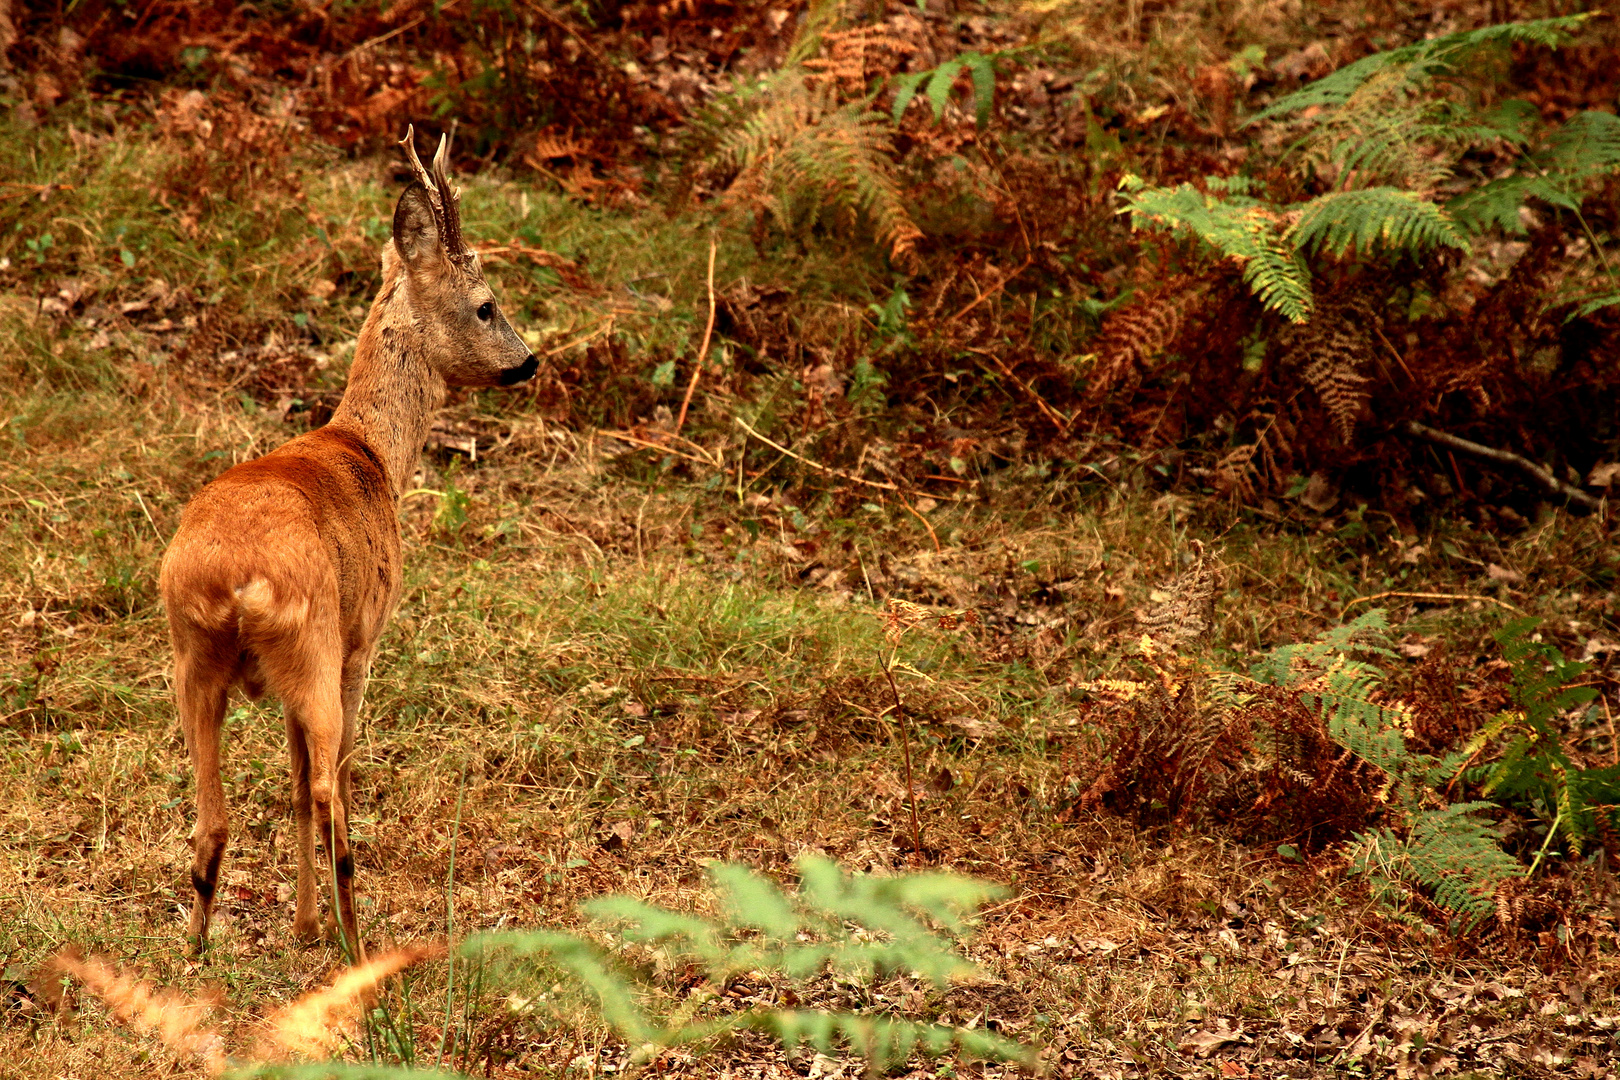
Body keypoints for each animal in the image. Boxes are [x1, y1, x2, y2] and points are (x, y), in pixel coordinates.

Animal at [157, 128, 528, 952]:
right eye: (486, 305)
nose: (529, 360)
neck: (371, 451)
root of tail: (238, 585)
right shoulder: (364, 640)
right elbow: (323, 782)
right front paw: (315, 925)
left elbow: (289, 785)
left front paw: (300, 925)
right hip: (316, 647)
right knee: (332, 792)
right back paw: (359, 942)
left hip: (193, 662)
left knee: (213, 815)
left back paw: (196, 950)